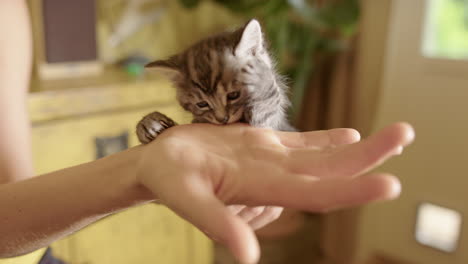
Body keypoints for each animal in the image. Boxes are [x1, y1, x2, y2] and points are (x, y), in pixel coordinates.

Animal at [135, 19, 294, 144]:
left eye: (233, 95)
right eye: (202, 104)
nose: (222, 119)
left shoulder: (270, 124)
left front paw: (258, 75)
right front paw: (149, 122)